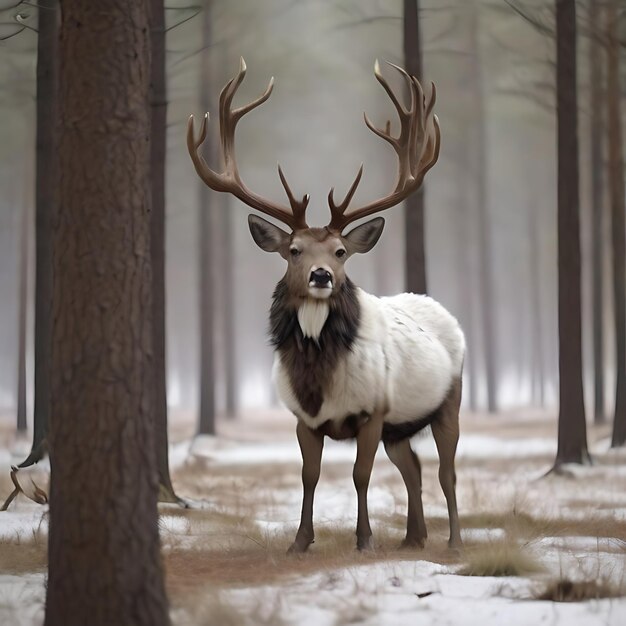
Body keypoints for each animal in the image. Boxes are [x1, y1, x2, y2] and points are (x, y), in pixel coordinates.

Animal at [188, 56, 460, 548]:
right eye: (294, 250)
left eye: (340, 251)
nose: (321, 276)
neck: (318, 376)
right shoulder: (303, 419)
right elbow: (309, 475)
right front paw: (300, 541)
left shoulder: (373, 411)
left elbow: (360, 475)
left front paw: (364, 539)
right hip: (400, 427)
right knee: (412, 467)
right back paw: (413, 538)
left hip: (450, 400)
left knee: (446, 471)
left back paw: (453, 540)